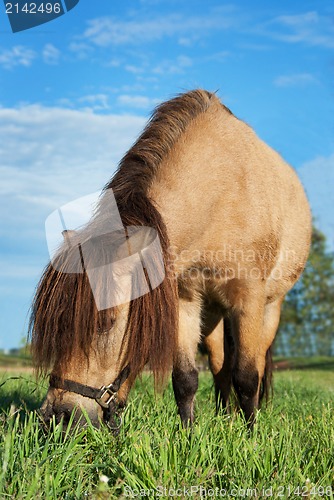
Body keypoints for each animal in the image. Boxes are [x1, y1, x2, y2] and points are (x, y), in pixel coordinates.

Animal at [28, 89, 310, 426]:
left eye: (106, 322)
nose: (56, 417)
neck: (222, 192)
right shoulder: (184, 298)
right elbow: (186, 379)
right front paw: (189, 434)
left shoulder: (249, 298)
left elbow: (247, 376)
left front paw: (251, 434)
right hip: (211, 312)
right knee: (219, 365)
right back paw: (223, 415)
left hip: (271, 307)